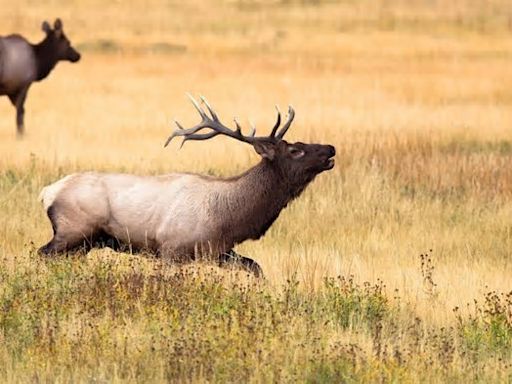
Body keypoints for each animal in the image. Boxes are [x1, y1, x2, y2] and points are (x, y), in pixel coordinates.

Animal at [39, 96, 336, 276]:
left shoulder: (219, 251)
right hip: (73, 231)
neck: (228, 218)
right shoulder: (171, 250)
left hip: (84, 244)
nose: (331, 148)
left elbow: (256, 268)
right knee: (41, 254)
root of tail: (47, 193)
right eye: (296, 150)